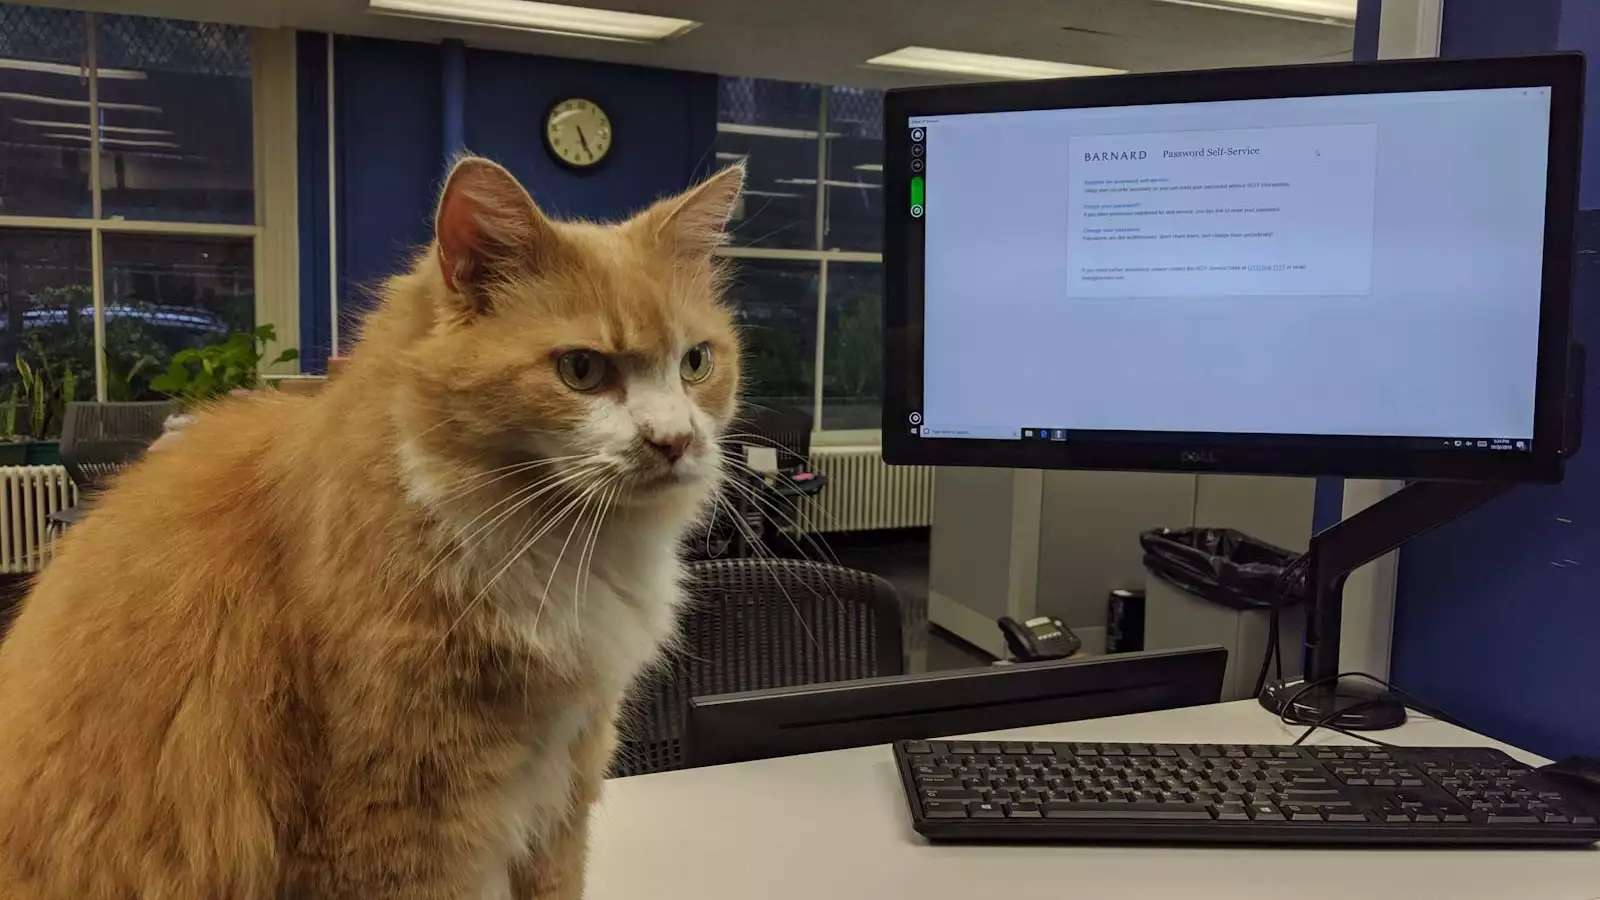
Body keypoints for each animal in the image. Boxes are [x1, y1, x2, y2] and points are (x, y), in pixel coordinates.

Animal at [0, 156, 745, 896]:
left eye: (696, 362)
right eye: (582, 370)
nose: (676, 442)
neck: (550, 546)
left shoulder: (565, 787)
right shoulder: (403, 813)